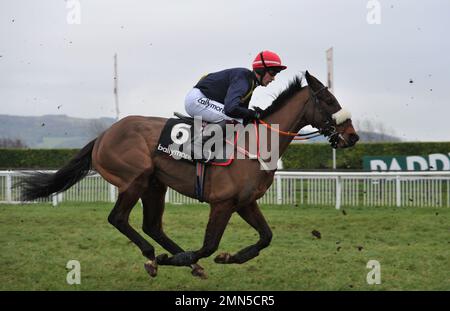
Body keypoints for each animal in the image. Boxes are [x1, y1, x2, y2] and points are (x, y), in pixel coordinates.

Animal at [20, 71, 358, 280]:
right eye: (329, 101)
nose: (352, 136)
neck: (256, 143)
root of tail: (103, 136)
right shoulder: (222, 203)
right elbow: (209, 245)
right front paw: (183, 259)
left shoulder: (245, 202)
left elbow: (265, 237)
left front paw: (227, 258)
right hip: (135, 178)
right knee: (118, 218)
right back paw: (156, 257)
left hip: (155, 184)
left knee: (152, 225)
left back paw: (186, 263)